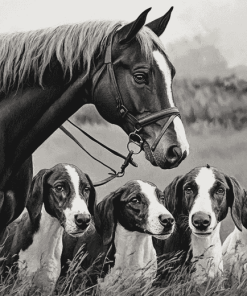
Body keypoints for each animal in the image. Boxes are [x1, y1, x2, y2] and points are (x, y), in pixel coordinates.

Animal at [0, 163, 95, 294]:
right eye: (59, 187)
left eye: (86, 189)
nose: (84, 220)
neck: (47, 236)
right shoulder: (15, 286)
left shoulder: (47, 287)